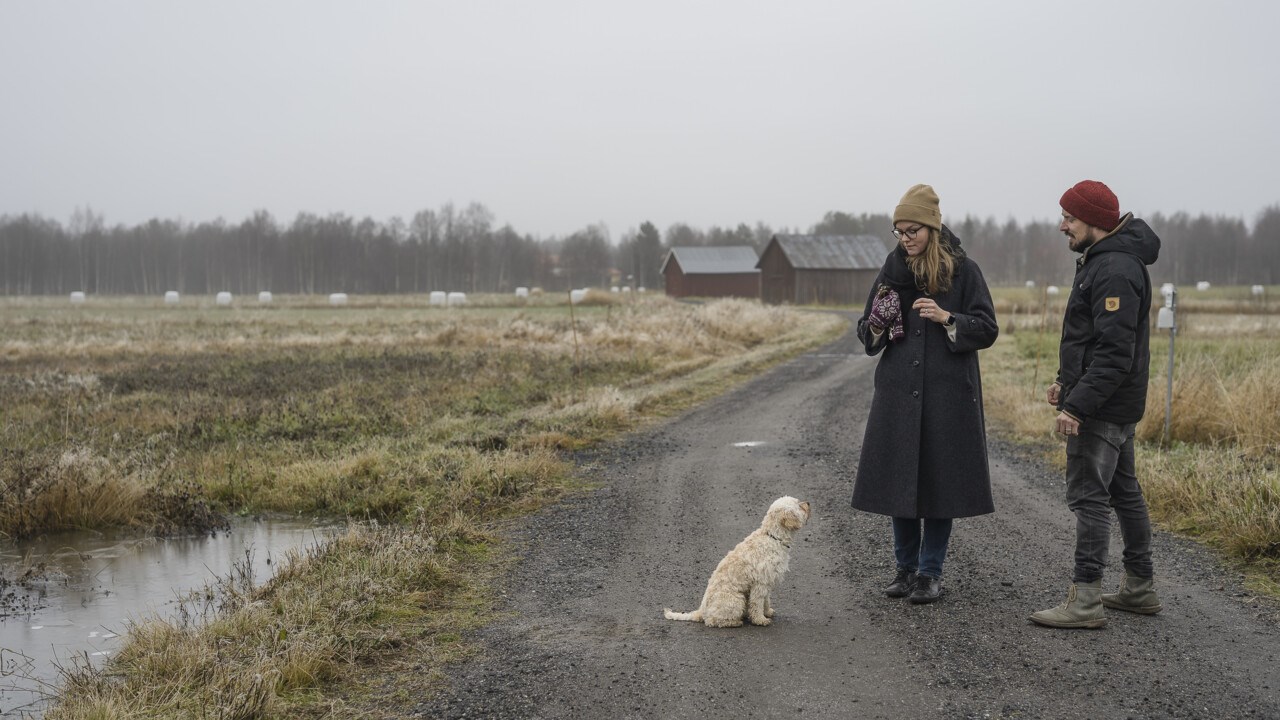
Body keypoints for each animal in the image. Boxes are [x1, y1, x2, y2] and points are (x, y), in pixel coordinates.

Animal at [670, 497, 808, 625]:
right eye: (798, 505)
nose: (808, 503)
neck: (773, 537)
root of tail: (701, 611)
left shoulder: (767, 581)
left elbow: (766, 600)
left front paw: (767, 612)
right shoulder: (760, 583)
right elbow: (757, 603)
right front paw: (760, 620)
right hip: (736, 600)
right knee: (713, 621)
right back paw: (735, 622)